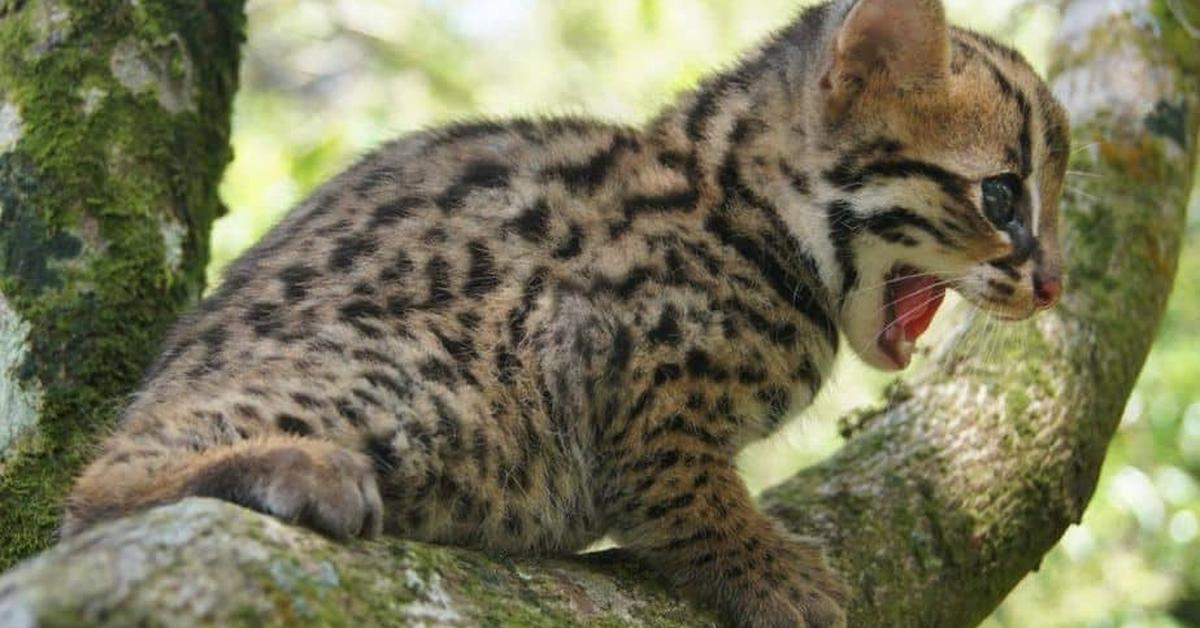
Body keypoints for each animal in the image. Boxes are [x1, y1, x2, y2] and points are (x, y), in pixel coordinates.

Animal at [68, 2, 1070, 624]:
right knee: (95, 489)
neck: (745, 212)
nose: (1054, 283)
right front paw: (769, 568)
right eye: (1001, 196)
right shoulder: (617, 365)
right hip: (418, 381)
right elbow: (685, 493)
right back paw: (287, 463)